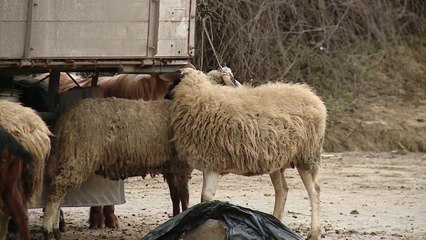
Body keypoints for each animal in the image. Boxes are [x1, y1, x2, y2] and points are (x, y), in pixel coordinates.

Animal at [42, 97, 191, 240]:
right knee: (57, 189)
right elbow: (184, 196)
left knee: (59, 192)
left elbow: (175, 197)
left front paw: (176, 222)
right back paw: (48, 231)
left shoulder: (171, 167)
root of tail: (64, 119)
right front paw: (184, 225)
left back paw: (56, 231)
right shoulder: (181, 164)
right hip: (79, 156)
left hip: (65, 157)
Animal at [169, 68, 326, 240]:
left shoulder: (213, 162)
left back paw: (313, 232)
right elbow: (205, 198)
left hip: (307, 155)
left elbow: (206, 197)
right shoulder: (208, 162)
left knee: (314, 191)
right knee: (282, 190)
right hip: (277, 160)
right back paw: (275, 223)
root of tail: (314, 98)